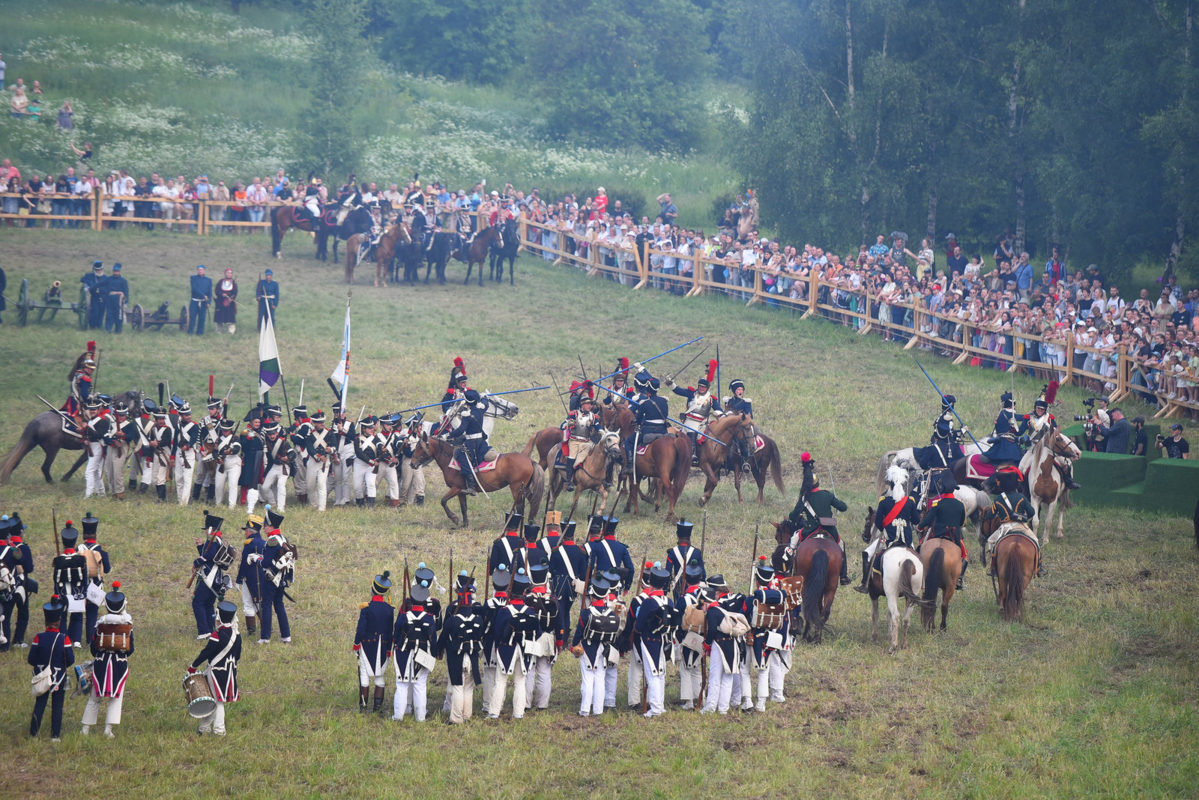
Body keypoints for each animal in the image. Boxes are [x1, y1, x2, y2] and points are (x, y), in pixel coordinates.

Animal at [0, 391, 143, 484]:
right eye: (137, 401)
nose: (141, 413)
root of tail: (36, 421)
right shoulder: (93, 448)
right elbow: (77, 464)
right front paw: (66, 478)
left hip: (31, 443)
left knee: (16, 460)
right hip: (52, 449)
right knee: (45, 467)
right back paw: (51, 482)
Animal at [410, 431, 546, 532]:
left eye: (419, 447)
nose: (412, 464)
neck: (450, 459)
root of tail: (530, 461)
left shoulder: (455, 488)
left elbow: (443, 501)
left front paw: (454, 518)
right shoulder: (461, 491)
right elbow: (463, 507)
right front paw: (464, 524)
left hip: (517, 489)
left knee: (519, 508)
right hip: (525, 489)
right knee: (532, 503)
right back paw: (530, 523)